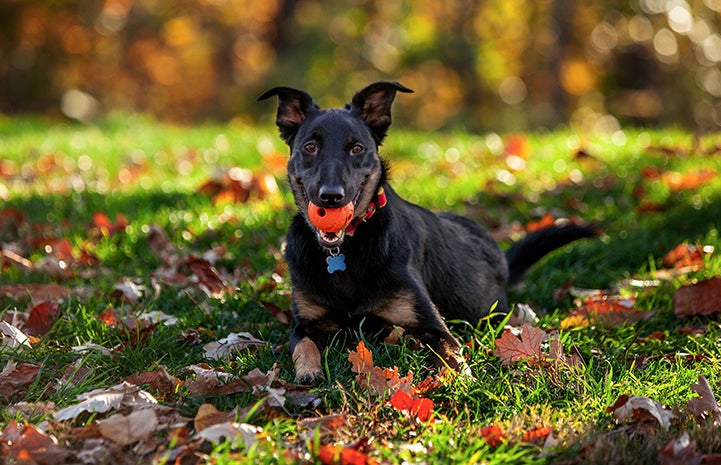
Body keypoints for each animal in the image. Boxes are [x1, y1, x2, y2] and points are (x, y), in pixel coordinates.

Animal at [256, 82, 592, 380]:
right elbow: (304, 347)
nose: (330, 197)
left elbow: (450, 351)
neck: (344, 250)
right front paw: (308, 372)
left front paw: (463, 379)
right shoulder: (305, 325)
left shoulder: (431, 324)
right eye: (310, 147)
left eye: (357, 148)